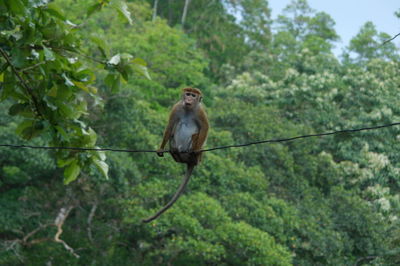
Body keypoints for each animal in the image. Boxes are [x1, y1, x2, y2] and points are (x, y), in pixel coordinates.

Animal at [141, 87, 209, 222]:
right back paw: (175, 152)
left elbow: (205, 128)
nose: (189, 99)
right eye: (188, 94)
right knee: (174, 131)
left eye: (193, 96)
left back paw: (195, 155)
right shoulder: (177, 107)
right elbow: (170, 126)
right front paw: (161, 148)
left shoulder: (200, 111)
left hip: (192, 148)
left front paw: (197, 149)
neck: (188, 109)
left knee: (195, 135)